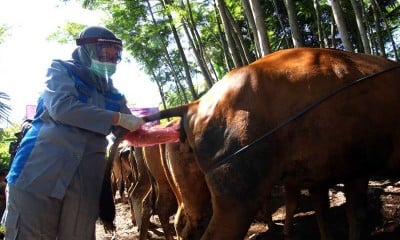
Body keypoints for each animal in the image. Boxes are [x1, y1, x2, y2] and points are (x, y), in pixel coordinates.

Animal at [143, 47, 400, 240]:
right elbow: (354, 215)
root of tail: (195, 105)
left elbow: (321, 209)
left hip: (194, 192)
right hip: (237, 200)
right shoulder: (356, 168)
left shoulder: (317, 175)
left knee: (183, 221)